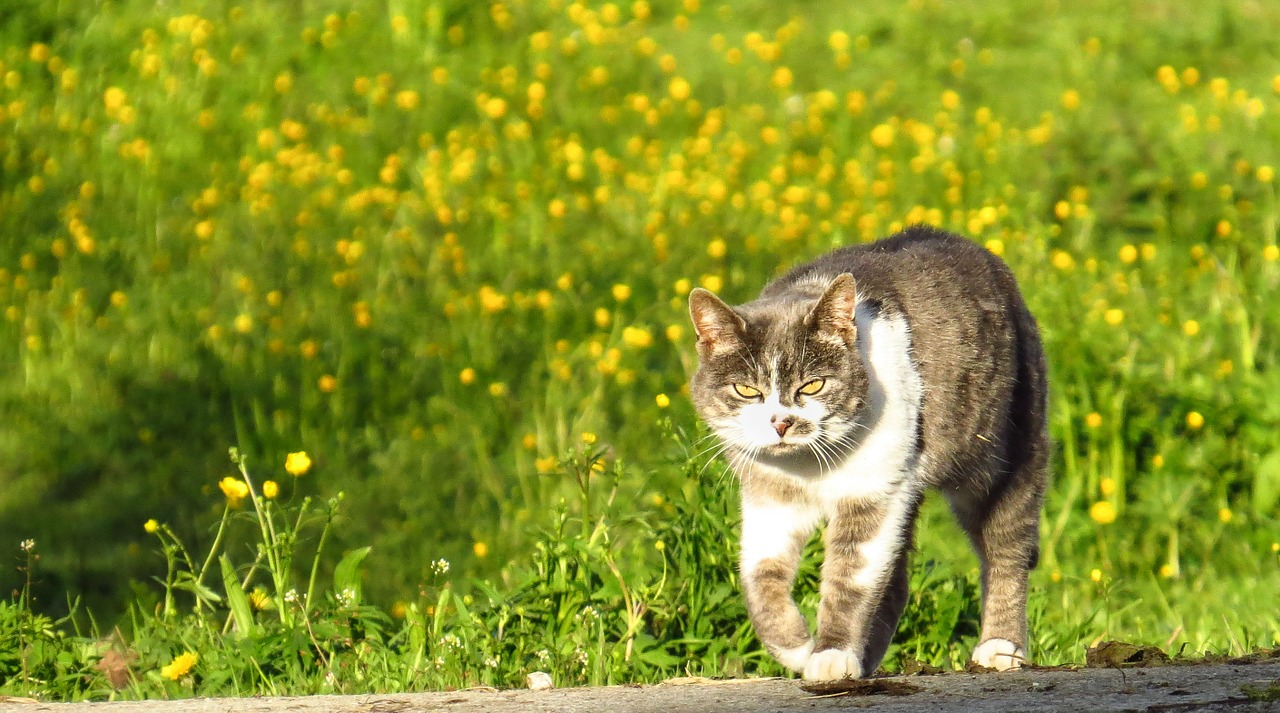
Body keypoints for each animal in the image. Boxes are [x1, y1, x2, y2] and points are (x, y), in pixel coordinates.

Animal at [686, 225, 1044, 680]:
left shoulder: (873, 495)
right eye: (747, 390)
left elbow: (850, 578)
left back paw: (1000, 648)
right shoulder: (771, 500)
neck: (807, 466)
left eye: (813, 385)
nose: (781, 422)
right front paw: (797, 647)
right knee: (898, 581)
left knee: (1007, 548)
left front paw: (831, 654)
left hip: (1004, 453)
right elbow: (759, 576)